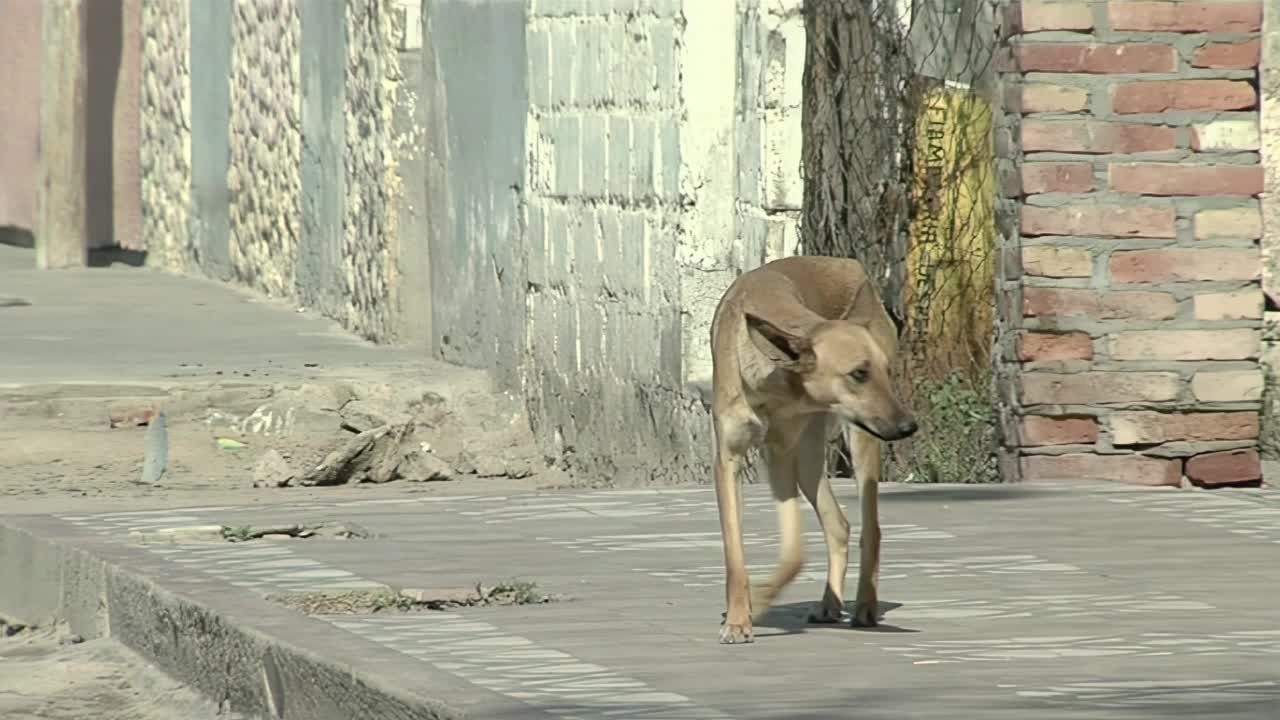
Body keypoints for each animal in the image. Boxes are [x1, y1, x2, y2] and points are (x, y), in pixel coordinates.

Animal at [706, 254, 916, 640]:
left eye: (885, 371)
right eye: (859, 373)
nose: (911, 426)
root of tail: (848, 263)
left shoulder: (780, 457)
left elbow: (794, 554)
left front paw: (759, 602)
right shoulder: (730, 460)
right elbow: (734, 553)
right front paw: (739, 617)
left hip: (858, 441)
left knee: (871, 529)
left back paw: (865, 606)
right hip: (808, 462)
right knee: (839, 524)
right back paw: (830, 603)